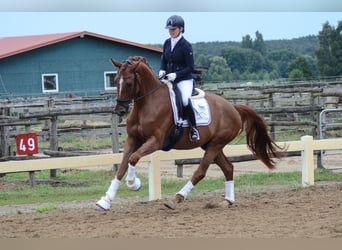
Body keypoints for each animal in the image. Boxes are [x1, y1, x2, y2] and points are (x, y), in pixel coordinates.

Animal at [95, 55, 284, 210]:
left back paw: (176, 199)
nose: (119, 110)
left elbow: (133, 159)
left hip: (215, 144)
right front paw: (106, 201)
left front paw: (133, 184)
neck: (147, 104)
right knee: (228, 168)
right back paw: (227, 201)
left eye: (128, 83)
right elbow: (122, 166)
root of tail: (233, 107)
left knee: (200, 172)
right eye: (115, 80)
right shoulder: (133, 140)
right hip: (211, 145)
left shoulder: (155, 141)